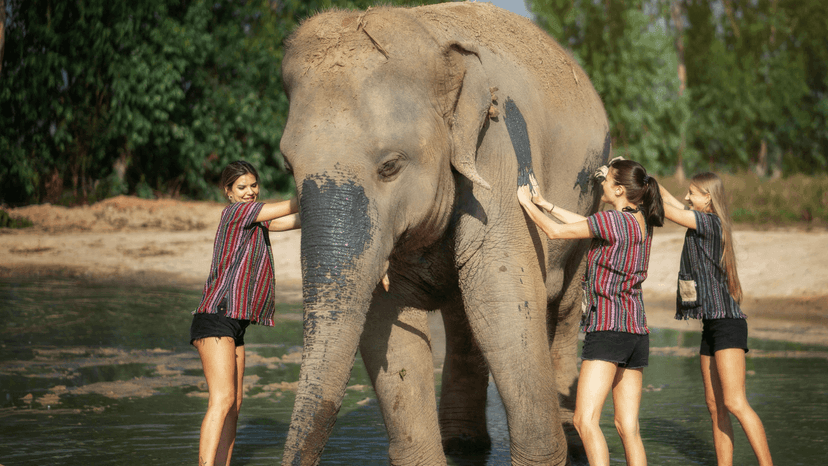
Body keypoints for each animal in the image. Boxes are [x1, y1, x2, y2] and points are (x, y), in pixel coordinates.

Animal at [278, 3, 610, 465]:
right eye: (288, 166)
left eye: (390, 166)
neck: (430, 37)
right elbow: (387, 327)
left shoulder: (496, 152)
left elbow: (504, 306)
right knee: (463, 317)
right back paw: (463, 444)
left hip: (588, 205)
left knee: (560, 308)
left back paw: (570, 437)